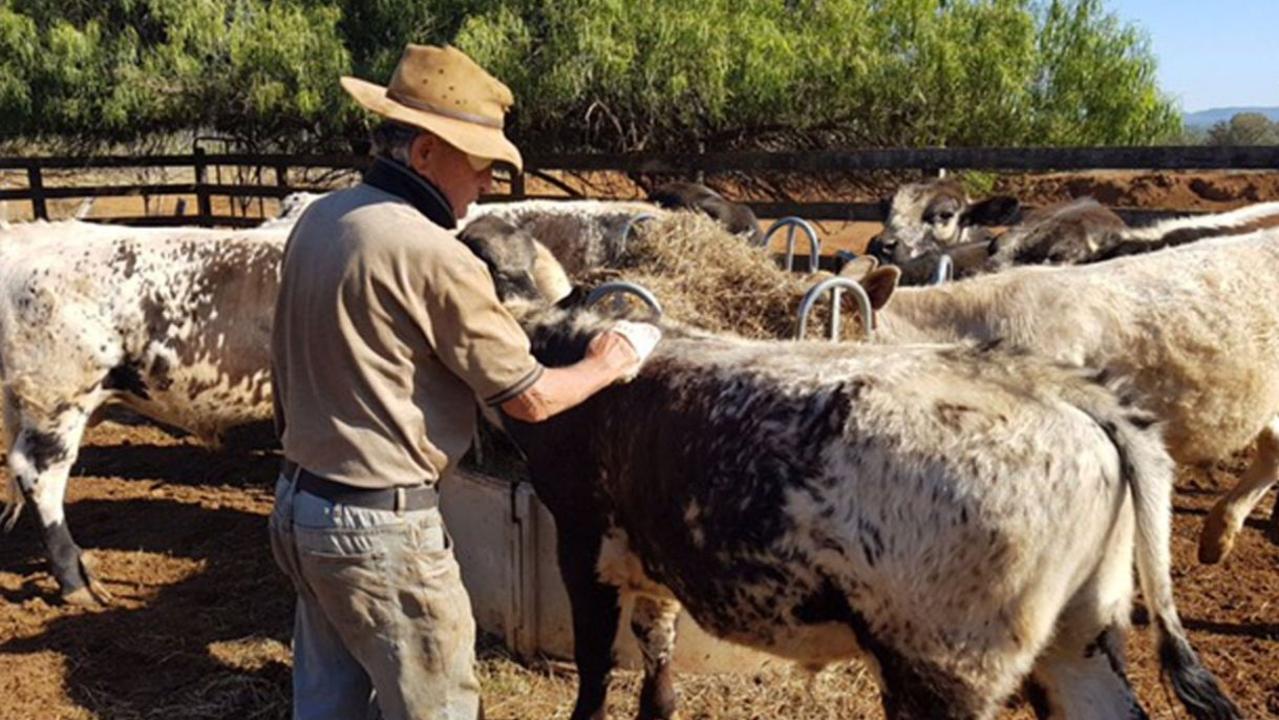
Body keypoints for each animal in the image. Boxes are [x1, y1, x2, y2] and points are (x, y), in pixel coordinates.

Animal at [460, 226, 1238, 720]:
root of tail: (1060, 390)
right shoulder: (654, 556)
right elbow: (658, 658)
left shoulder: (582, 538)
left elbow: (595, 673)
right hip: (1082, 639)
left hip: (945, 668)